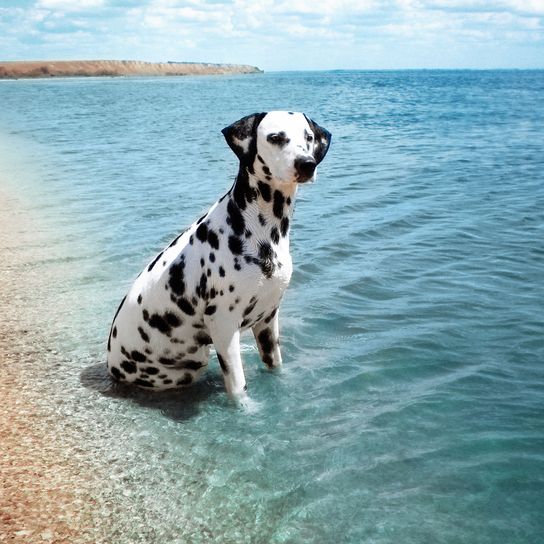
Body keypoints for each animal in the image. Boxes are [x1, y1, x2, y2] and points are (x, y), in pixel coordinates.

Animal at [104, 110, 330, 400]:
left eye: (308, 137)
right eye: (275, 137)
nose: (306, 164)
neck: (261, 228)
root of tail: (112, 363)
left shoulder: (267, 321)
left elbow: (275, 367)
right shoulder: (224, 326)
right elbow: (239, 391)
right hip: (183, 369)